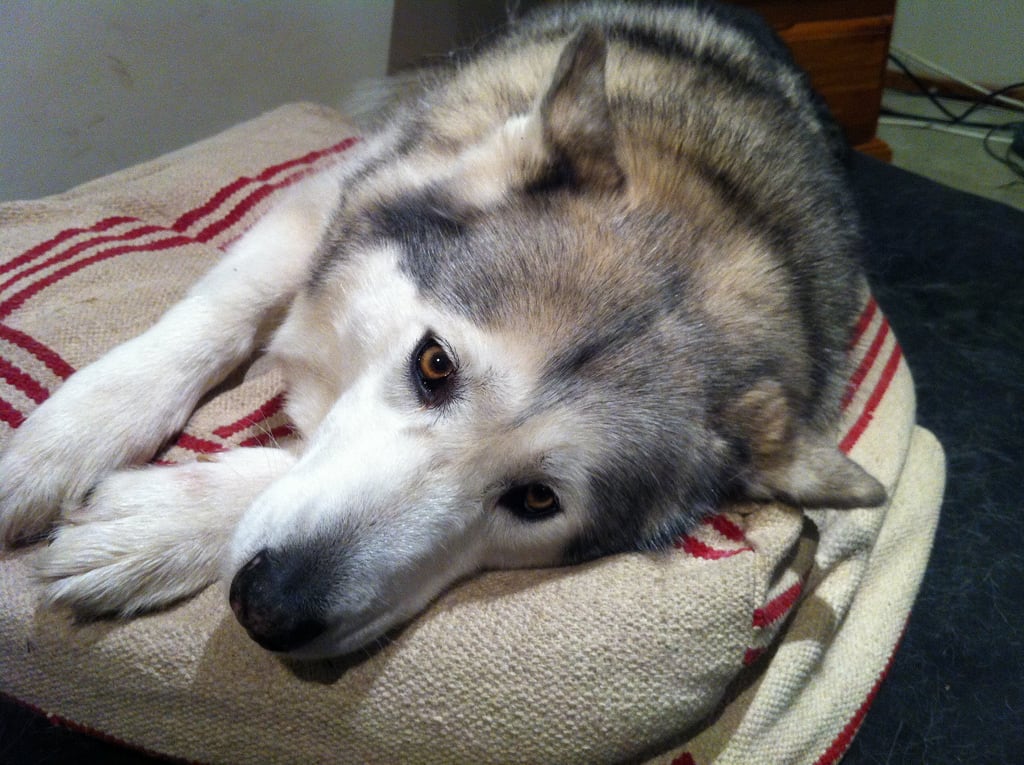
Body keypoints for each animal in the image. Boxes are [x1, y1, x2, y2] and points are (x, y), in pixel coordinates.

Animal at [0, 2, 885, 658]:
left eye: (536, 499)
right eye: (434, 364)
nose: (270, 606)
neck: (718, 193)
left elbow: (281, 468)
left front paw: (159, 523)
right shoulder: (324, 202)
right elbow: (218, 312)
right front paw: (64, 443)